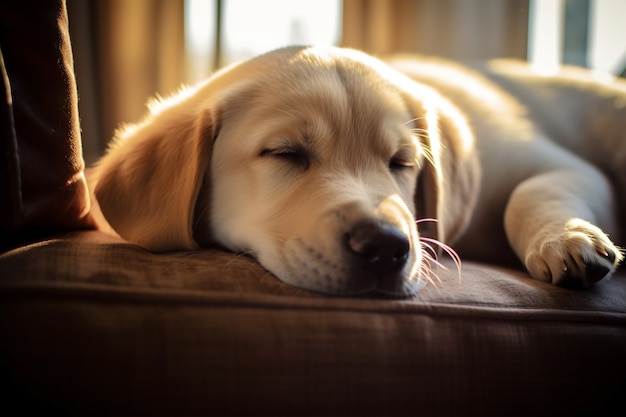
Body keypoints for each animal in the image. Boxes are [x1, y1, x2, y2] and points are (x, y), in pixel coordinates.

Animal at [89, 45, 624, 296]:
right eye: (285, 153)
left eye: (402, 163)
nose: (385, 247)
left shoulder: (560, 165)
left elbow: (527, 194)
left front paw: (566, 238)